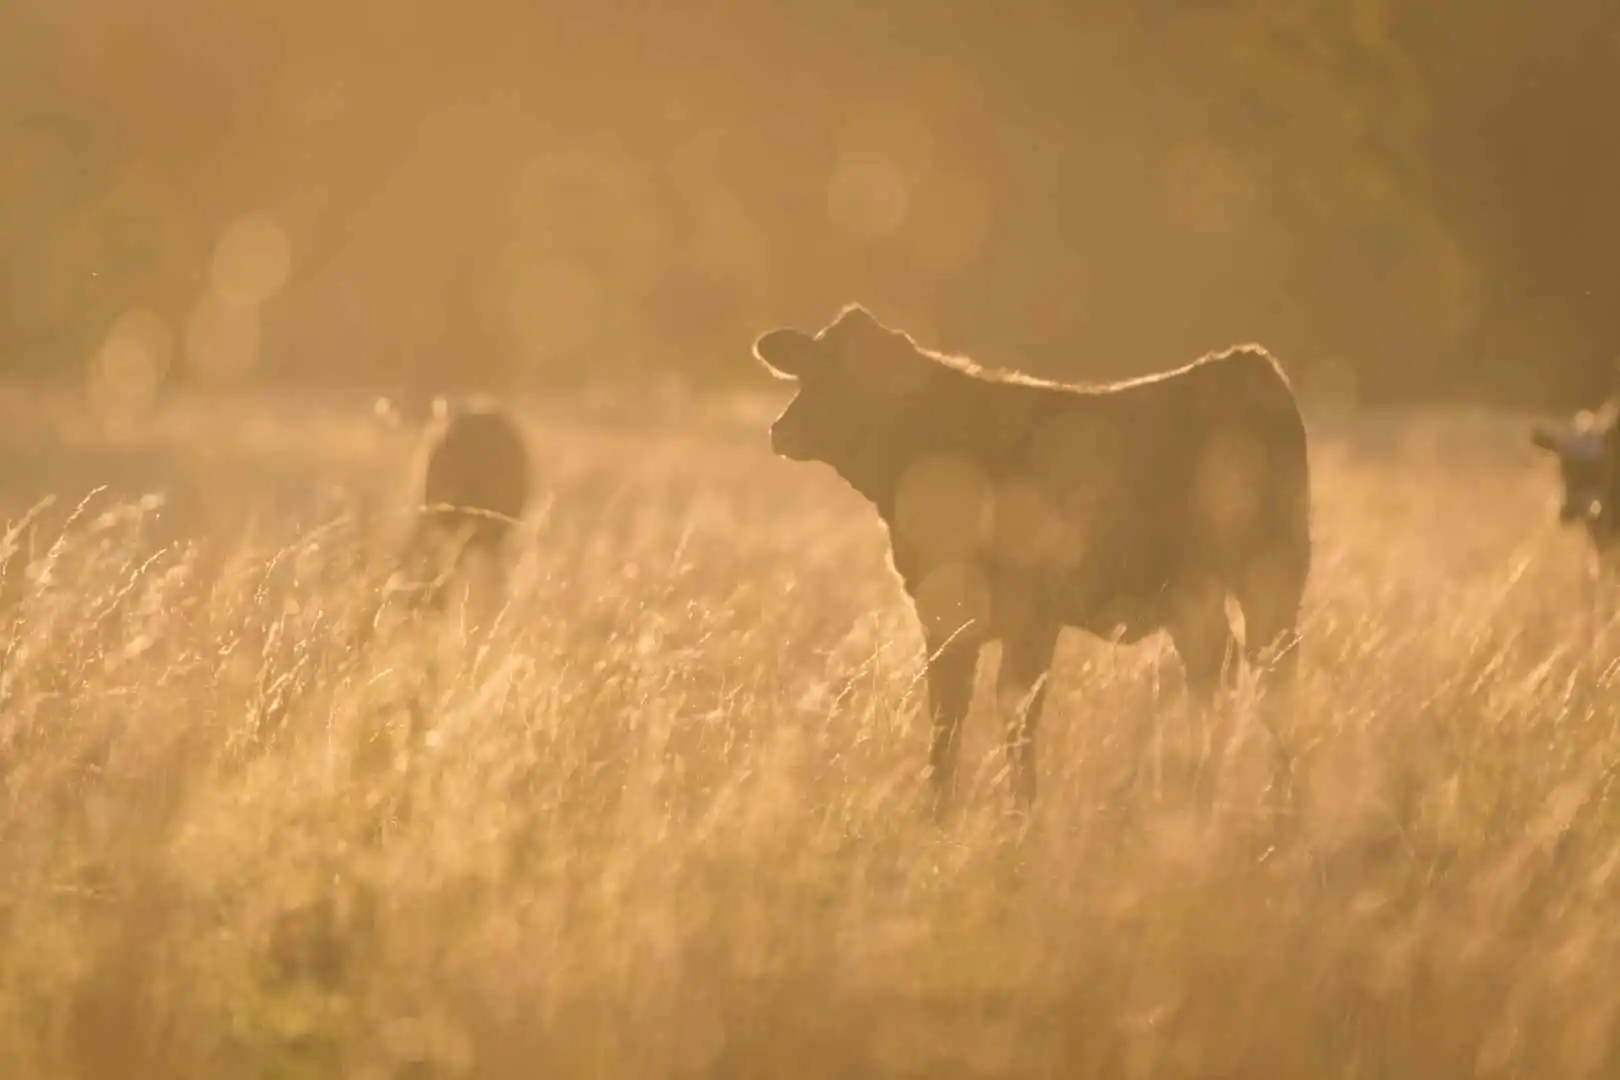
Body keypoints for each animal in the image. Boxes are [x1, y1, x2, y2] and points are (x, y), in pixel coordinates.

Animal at [751, 304, 1308, 819]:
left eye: (852, 380)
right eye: (810, 369)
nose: (781, 430)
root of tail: (1246, 363)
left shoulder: (1017, 615)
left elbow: (1004, 708)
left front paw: (1004, 815)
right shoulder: (955, 615)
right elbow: (957, 710)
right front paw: (959, 809)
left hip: (1263, 578)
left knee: (1261, 677)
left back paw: (1254, 802)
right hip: (1212, 594)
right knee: (1231, 670)